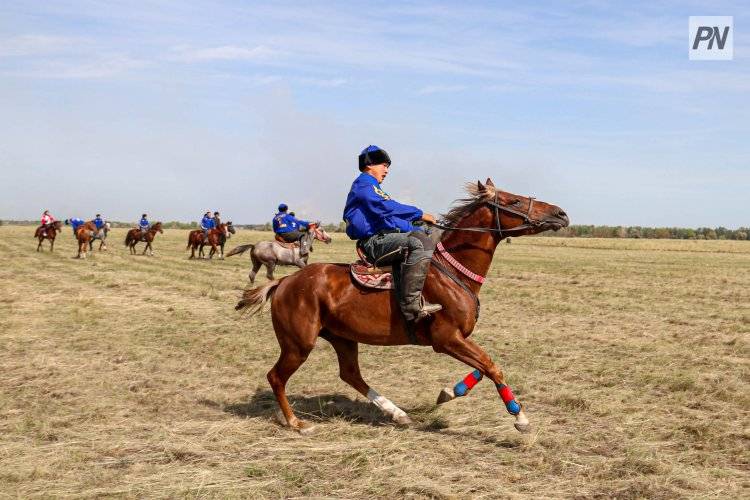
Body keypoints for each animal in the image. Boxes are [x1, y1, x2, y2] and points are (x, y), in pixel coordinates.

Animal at [238, 180, 572, 434]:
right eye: (514, 200)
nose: (561, 213)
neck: (453, 272)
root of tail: (285, 282)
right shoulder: (446, 339)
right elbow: (492, 366)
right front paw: (520, 417)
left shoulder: (460, 338)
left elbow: (483, 366)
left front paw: (449, 393)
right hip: (299, 344)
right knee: (276, 377)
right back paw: (296, 422)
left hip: (342, 338)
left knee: (350, 374)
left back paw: (396, 413)